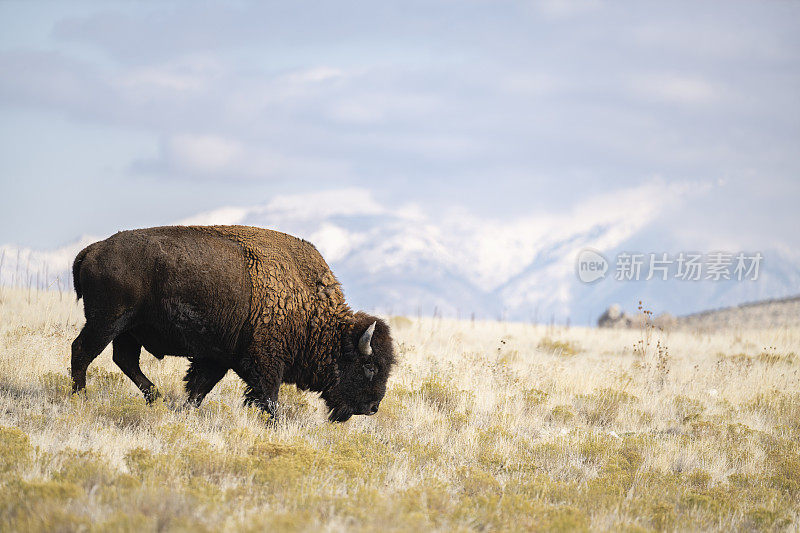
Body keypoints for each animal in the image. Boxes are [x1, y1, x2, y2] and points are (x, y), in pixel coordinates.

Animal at [70, 224, 396, 420]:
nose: (372, 407)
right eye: (369, 366)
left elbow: (199, 388)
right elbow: (268, 398)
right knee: (82, 351)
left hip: (128, 330)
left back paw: (157, 399)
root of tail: (92, 250)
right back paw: (80, 398)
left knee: (124, 360)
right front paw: (274, 425)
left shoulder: (217, 358)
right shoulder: (266, 363)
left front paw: (186, 412)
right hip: (107, 322)